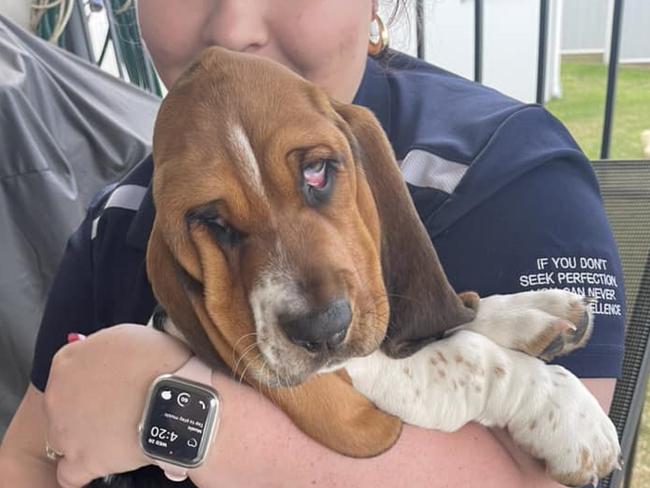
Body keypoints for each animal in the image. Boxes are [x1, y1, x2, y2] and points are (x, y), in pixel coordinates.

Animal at [117, 47, 616, 486]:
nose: (323, 330)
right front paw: (564, 413)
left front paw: (530, 312)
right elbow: (466, 361)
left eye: (316, 171)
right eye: (212, 222)